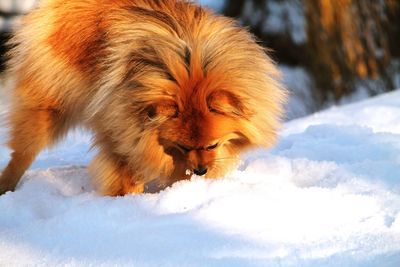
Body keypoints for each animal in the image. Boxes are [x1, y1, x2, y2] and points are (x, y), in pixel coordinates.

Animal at [0, 0, 288, 197]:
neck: (189, 68)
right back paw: (7, 185)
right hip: (49, 107)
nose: (200, 170)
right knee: (22, 153)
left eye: (212, 145)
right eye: (183, 146)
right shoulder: (123, 131)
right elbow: (125, 171)